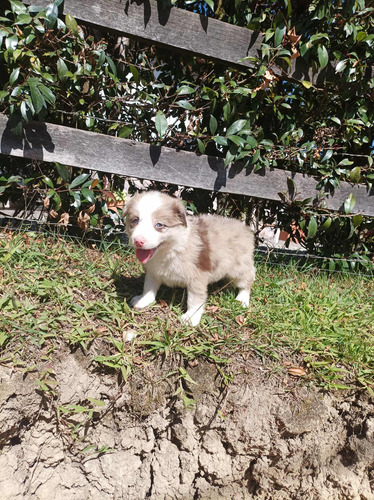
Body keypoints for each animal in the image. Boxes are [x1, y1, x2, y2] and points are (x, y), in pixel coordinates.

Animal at [124, 189, 256, 326]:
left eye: (159, 225)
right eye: (135, 221)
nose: (138, 241)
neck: (169, 250)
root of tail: (243, 227)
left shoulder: (197, 276)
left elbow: (194, 299)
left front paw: (191, 317)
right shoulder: (153, 271)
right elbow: (148, 287)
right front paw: (142, 300)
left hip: (239, 266)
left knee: (248, 279)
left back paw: (242, 299)